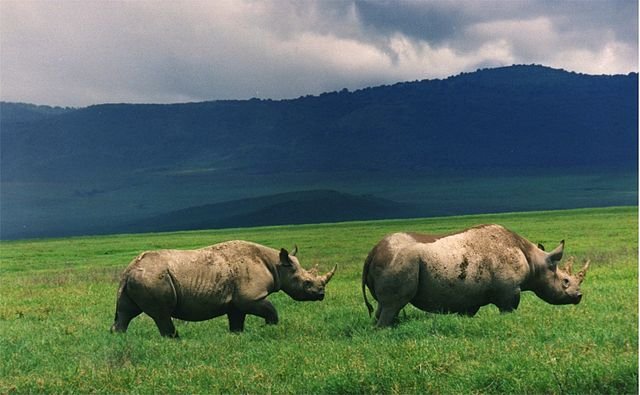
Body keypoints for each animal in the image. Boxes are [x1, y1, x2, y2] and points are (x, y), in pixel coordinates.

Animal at [110, 241, 338, 338]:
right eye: (306, 283)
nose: (321, 294)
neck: (277, 265)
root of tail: (128, 270)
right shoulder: (251, 297)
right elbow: (271, 310)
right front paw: (269, 328)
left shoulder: (236, 302)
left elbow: (237, 321)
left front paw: (237, 336)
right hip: (153, 278)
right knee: (162, 314)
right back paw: (176, 340)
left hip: (138, 279)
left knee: (125, 313)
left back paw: (119, 339)